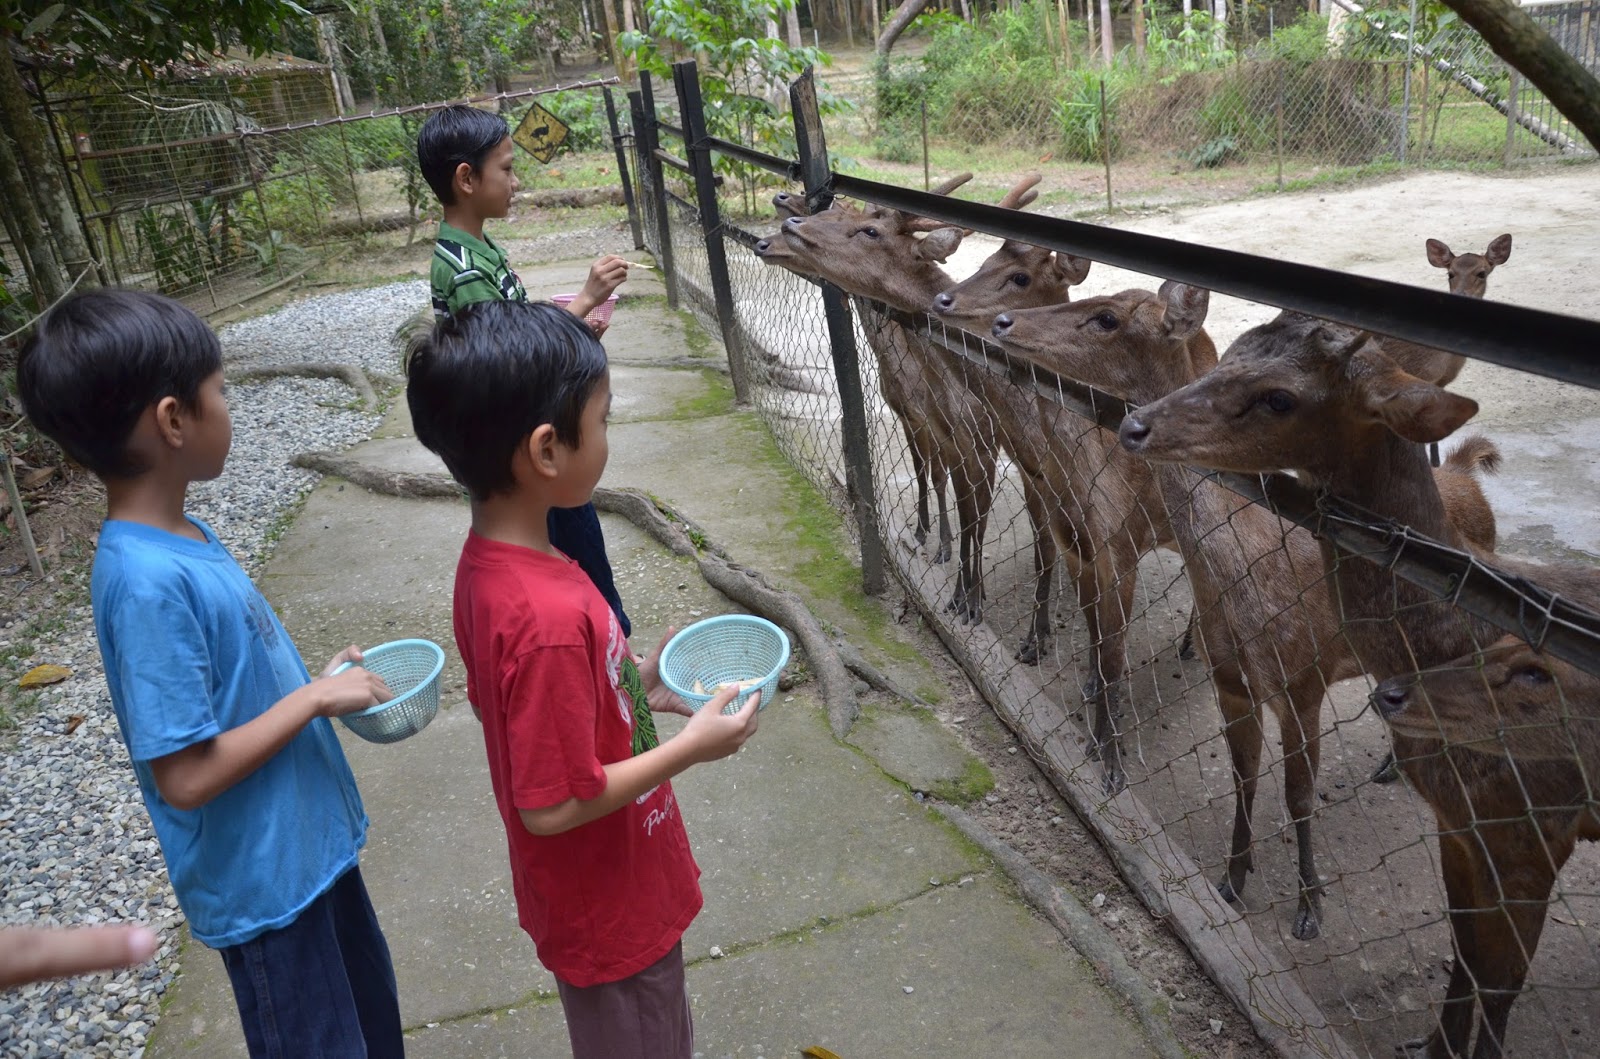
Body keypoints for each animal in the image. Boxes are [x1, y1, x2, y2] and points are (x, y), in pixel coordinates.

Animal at [1126, 311, 1600, 1055]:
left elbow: (1502, 981)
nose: (1136, 423)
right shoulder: (1458, 823)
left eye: (1280, 397)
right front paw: (1432, 1045)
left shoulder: (1535, 829)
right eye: (1230, 352)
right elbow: (1464, 953)